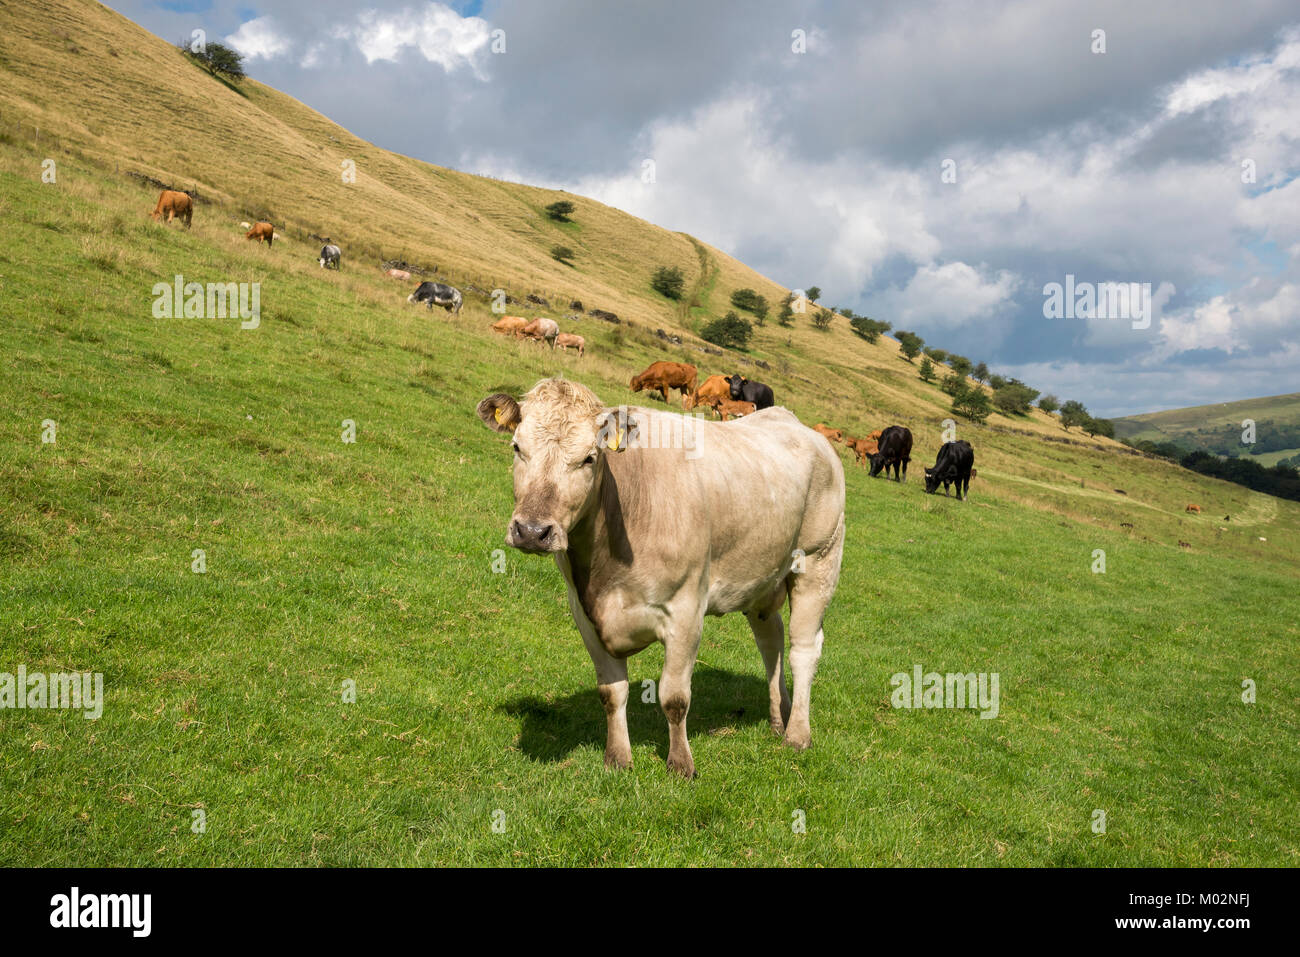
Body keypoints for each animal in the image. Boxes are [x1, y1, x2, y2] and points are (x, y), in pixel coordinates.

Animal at [475, 377, 842, 774]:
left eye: (589, 458)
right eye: (517, 447)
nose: (531, 531)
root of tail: (797, 423)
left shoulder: (686, 611)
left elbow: (674, 697)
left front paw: (681, 763)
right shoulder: (584, 613)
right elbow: (611, 692)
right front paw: (618, 758)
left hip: (819, 561)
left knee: (803, 649)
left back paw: (797, 733)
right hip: (761, 576)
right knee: (770, 641)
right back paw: (779, 717)